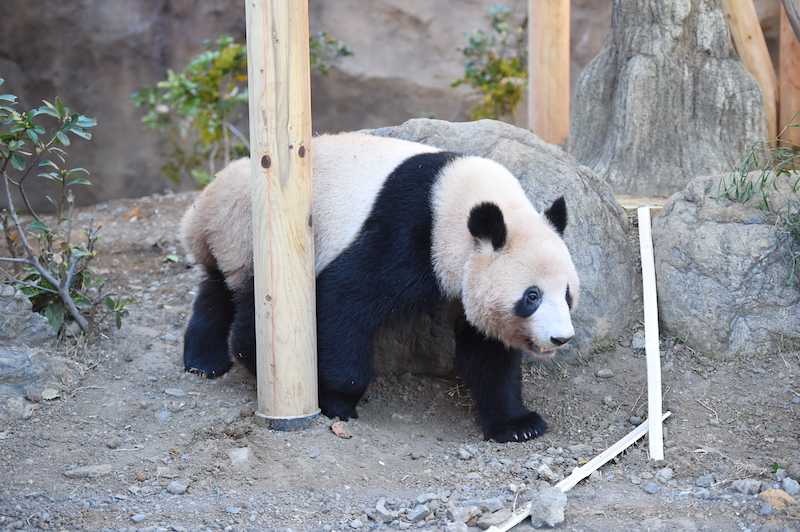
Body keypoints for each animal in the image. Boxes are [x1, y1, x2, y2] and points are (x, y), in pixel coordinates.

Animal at [182, 131, 580, 442]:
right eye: (532, 296)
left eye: (567, 295)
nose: (560, 338)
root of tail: (206, 202)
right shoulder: (411, 230)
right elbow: (342, 298)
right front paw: (337, 399)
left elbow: (487, 351)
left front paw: (517, 424)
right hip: (252, 233)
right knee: (256, 304)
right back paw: (244, 358)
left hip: (232, 237)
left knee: (216, 290)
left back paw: (204, 359)